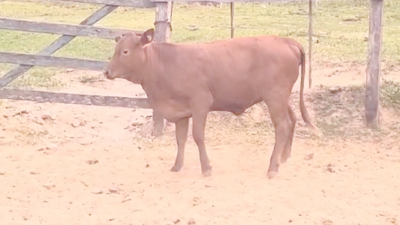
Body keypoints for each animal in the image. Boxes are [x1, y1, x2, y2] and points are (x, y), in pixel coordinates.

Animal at [104, 28, 320, 179]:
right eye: (115, 50)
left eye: (125, 51)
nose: (106, 71)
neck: (165, 64)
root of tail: (286, 41)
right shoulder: (181, 112)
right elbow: (180, 139)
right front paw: (177, 166)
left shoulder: (200, 104)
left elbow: (198, 136)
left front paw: (206, 167)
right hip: (281, 98)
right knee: (292, 119)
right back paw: (284, 158)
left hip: (275, 97)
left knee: (282, 126)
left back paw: (273, 167)